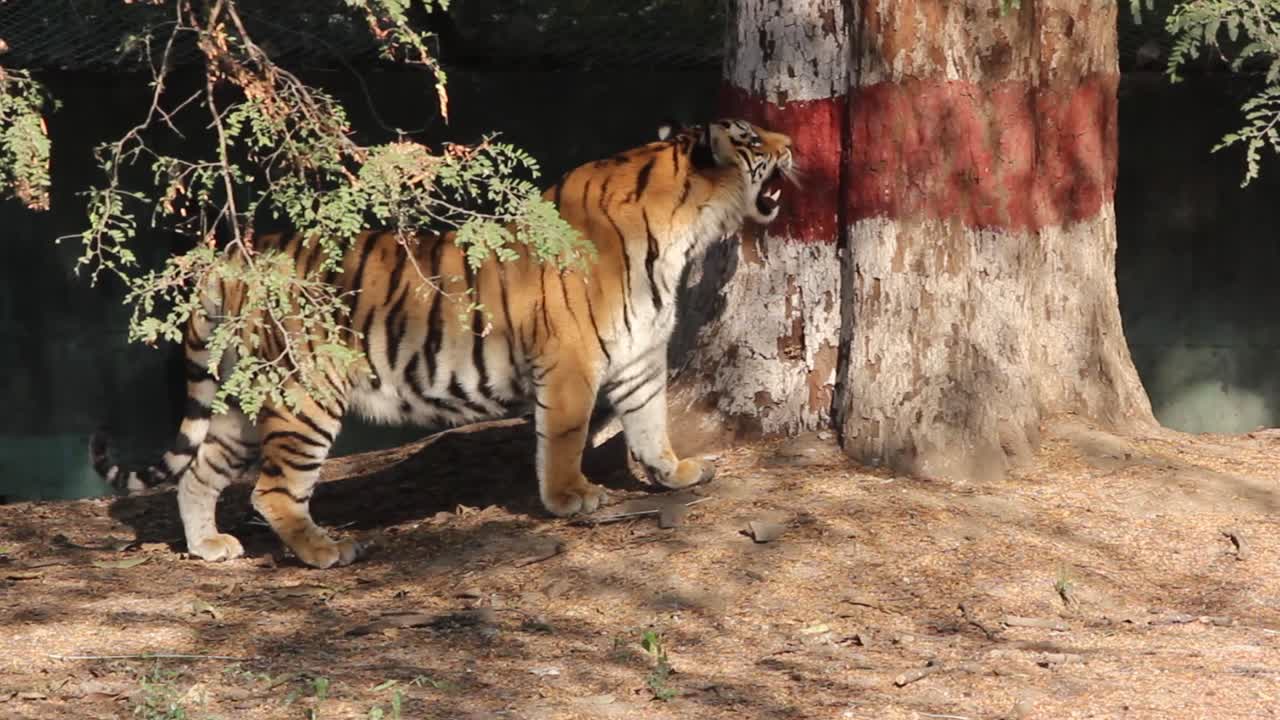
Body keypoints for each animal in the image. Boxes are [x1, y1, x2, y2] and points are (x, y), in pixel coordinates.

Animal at [90, 118, 795, 568]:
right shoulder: (571, 363)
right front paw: (573, 498)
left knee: (198, 472)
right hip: (304, 393)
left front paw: (676, 473)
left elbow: (650, 425)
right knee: (273, 490)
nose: (793, 145)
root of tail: (238, 255)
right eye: (753, 139)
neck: (683, 228)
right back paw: (327, 550)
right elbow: (565, 438)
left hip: (244, 395)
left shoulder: (641, 357)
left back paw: (209, 548)